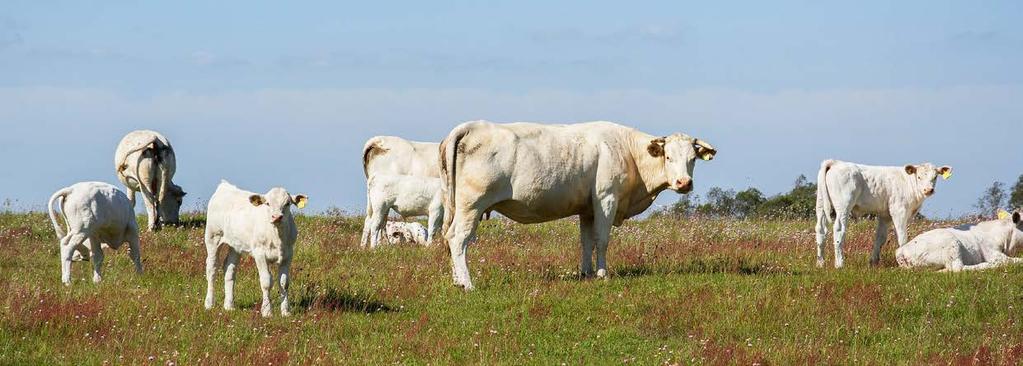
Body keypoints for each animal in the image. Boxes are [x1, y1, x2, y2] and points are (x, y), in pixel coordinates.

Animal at [202, 180, 304, 316]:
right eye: (267, 203)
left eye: (287, 203)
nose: (277, 217)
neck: (277, 237)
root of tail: (225, 186)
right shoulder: (260, 254)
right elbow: (266, 282)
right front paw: (266, 311)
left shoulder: (288, 254)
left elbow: (284, 282)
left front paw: (286, 312)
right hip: (213, 237)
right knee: (212, 268)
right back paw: (209, 304)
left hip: (235, 245)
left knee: (229, 268)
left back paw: (229, 306)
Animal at [439, 120, 720, 288]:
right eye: (668, 157)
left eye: (693, 159)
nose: (684, 183)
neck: (628, 152)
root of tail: (472, 126)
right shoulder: (606, 199)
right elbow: (602, 240)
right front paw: (603, 274)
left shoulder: (587, 209)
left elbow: (586, 241)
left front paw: (586, 274)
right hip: (471, 205)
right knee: (458, 239)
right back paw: (467, 284)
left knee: (450, 238)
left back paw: (456, 281)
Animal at [810, 158, 953, 267]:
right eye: (919, 176)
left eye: (935, 177)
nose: (929, 190)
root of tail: (835, 162)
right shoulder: (899, 211)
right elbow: (902, 237)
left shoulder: (885, 215)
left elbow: (880, 238)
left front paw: (873, 262)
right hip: (843, 206)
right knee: (839, 230)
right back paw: (839, 264)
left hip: (821, 204)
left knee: (821, 229)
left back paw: (820, 263)